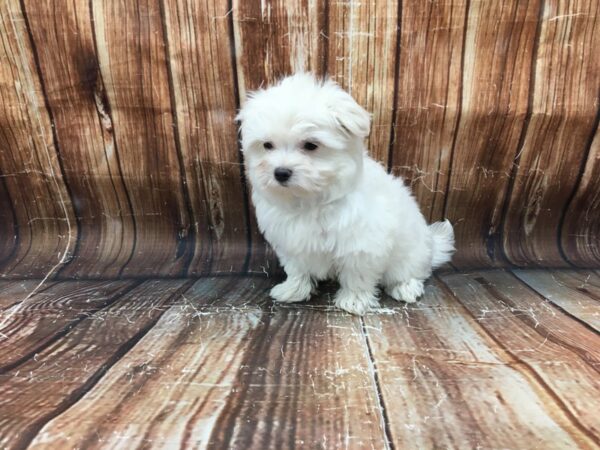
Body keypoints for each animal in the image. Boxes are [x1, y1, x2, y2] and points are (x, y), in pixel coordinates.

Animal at [237, 73, 452, 312]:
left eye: (311, 145)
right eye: (267, 145)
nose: (281, 172)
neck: (310, 200)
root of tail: (431, 246)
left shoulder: (362, 244)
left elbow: (357, 273)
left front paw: (355, 299)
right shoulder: (291, 240)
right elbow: (297, 268)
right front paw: (293, 289)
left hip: (410, 253)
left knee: (411, 271)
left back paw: (406, 287)